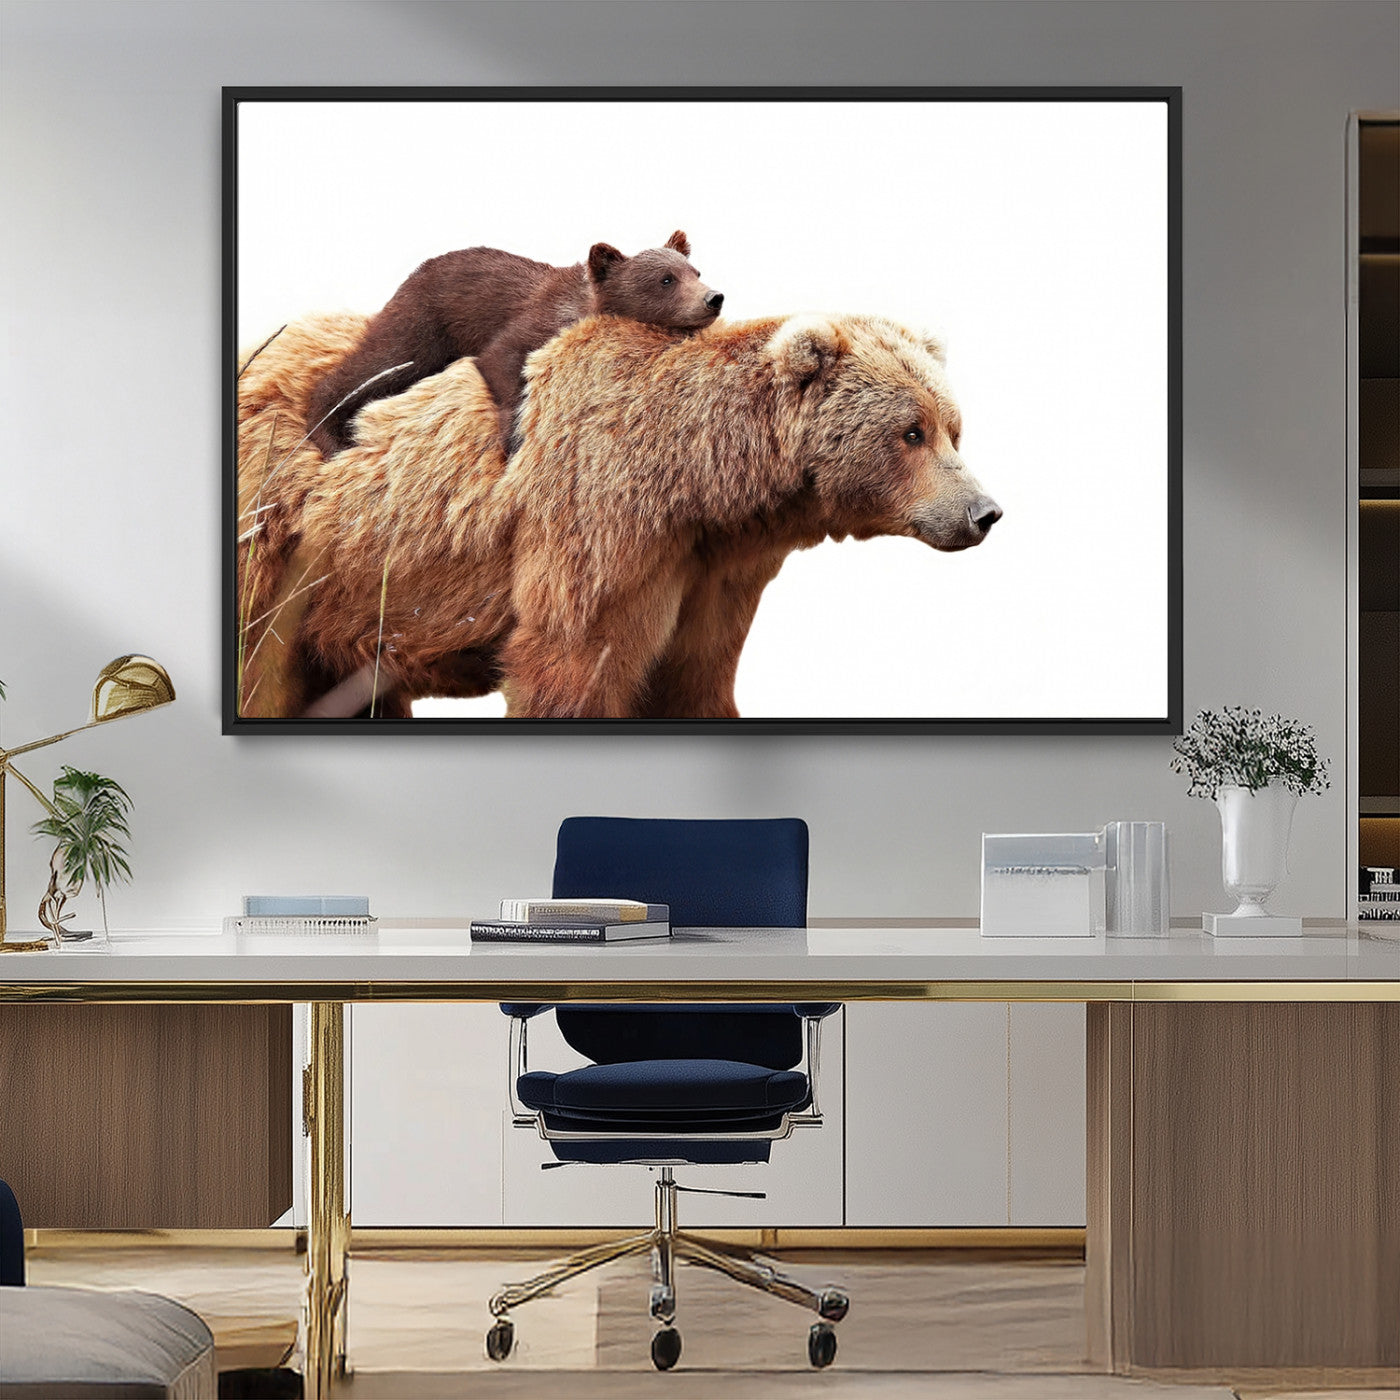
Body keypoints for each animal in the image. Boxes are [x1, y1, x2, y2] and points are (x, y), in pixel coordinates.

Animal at [235, 310, 1001, 721]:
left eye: (953, 428)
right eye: (911, 431)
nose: (984, 511)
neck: (701, 485)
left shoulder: (710, 574)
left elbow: (694, 676)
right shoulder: (600, 531)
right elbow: (572, 663)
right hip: (279, 541)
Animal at [302, 230, 723, 457]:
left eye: (696, 271)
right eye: (666, 279)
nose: (713, 298)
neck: (583, 307)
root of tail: (414, 272)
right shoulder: (532, 322)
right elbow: (501, 359)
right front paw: (514, 437)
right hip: (424, 322)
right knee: (380, 362)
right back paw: (330, 435)